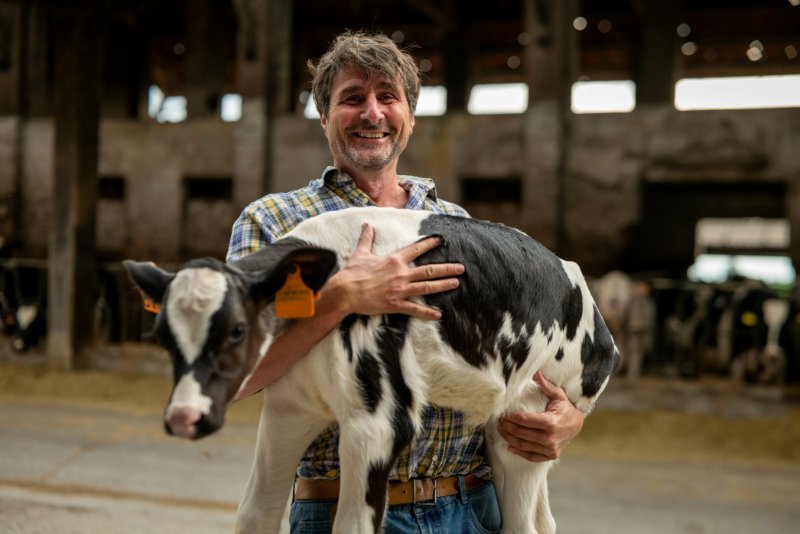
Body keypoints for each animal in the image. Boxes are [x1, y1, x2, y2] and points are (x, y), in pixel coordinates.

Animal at [123, 208, 620, 534]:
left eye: (237, 330)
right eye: (163, 335)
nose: (185, 417)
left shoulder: (376, 423)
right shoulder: (288, 409)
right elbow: (254, 513)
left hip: (529, 415)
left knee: (523, 524)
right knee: (543, 519)